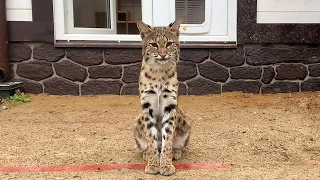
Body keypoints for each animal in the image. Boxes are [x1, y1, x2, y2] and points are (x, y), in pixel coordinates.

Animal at [134, 18, 191, 176]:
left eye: (169, 43)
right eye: (154, 44)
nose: (163, 54)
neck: (159, 72)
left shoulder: (170, 106)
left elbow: (168, 138)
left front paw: (166, 164)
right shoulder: (147, 107)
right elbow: (151, 138)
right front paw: (153, 164)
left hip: (185, 121)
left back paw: (175, 152)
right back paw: (147, 154)